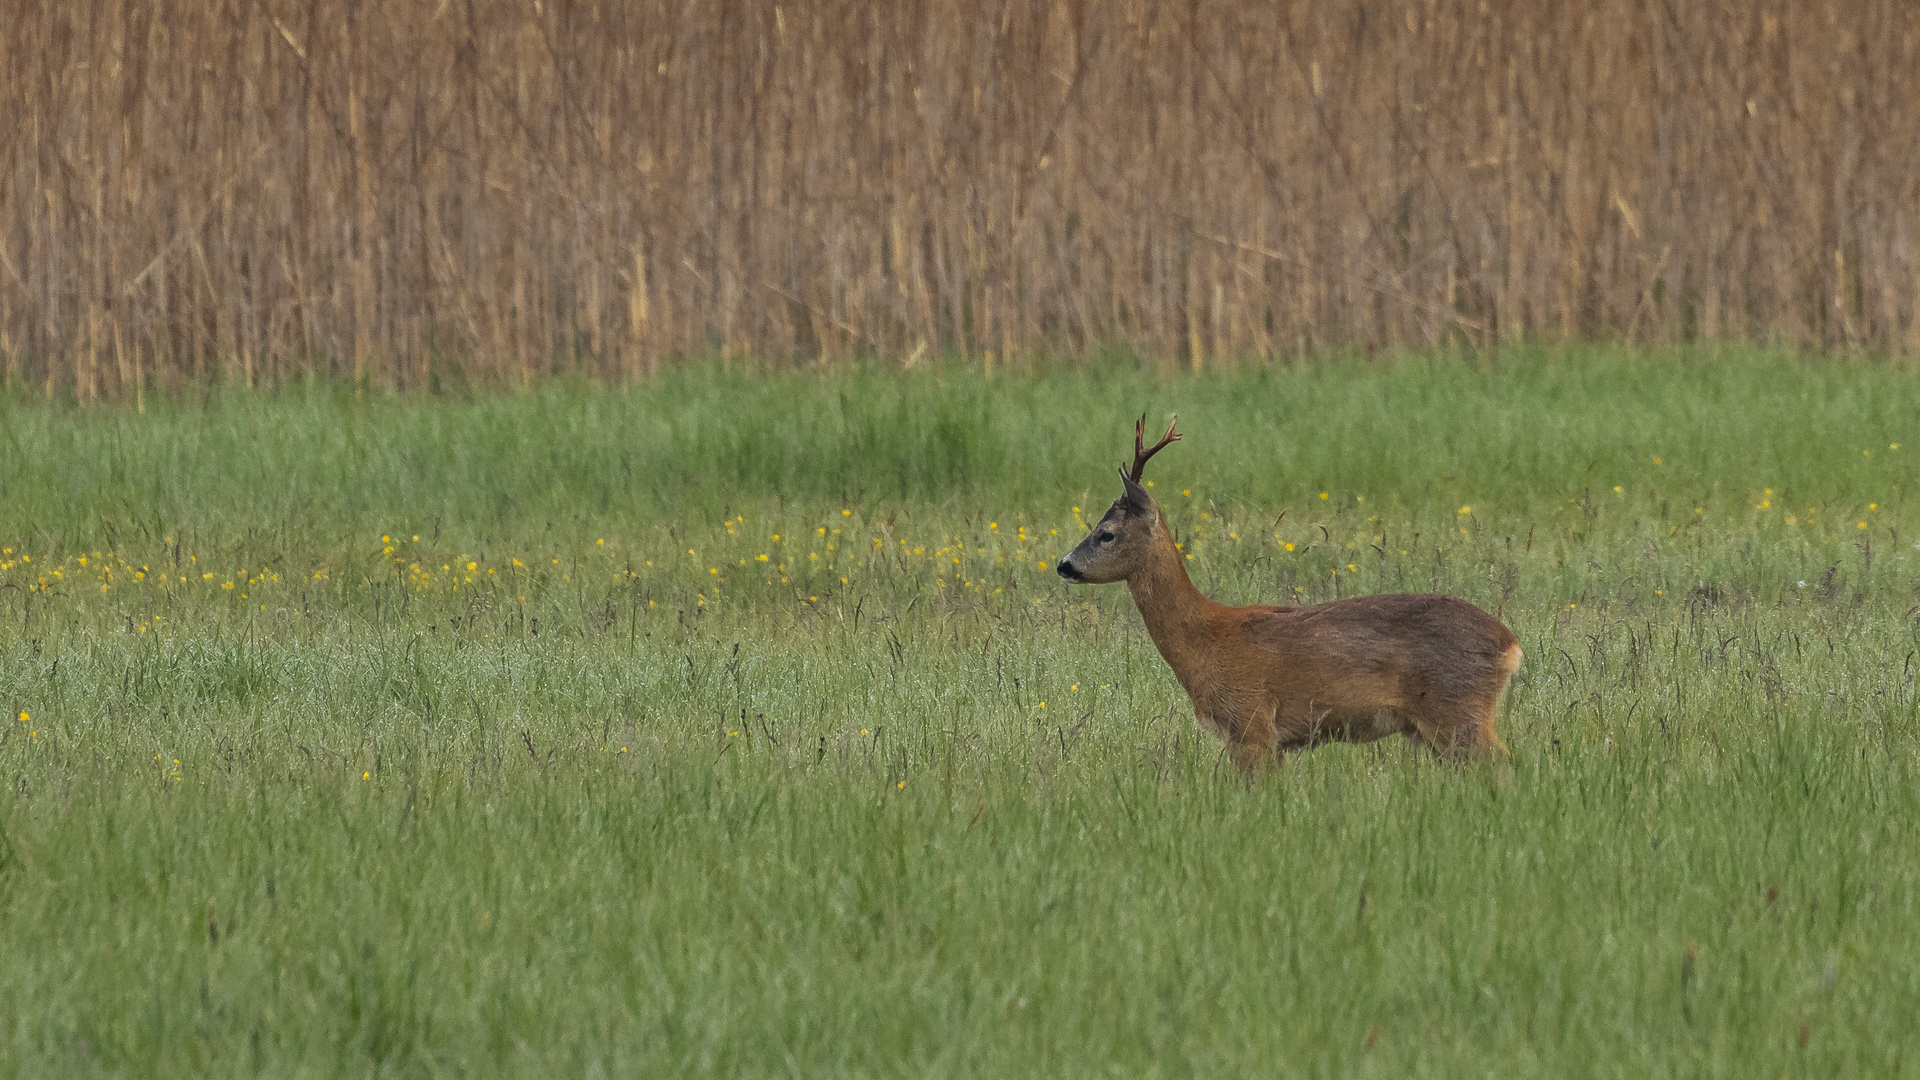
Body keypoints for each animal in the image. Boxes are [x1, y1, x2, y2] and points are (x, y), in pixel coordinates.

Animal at [1059, 413, 1520, 772]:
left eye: (1105, 533)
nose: (1064, 565)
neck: (1204, 639)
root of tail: (1511, 645)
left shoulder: (1252, 722)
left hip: (1457, 709)